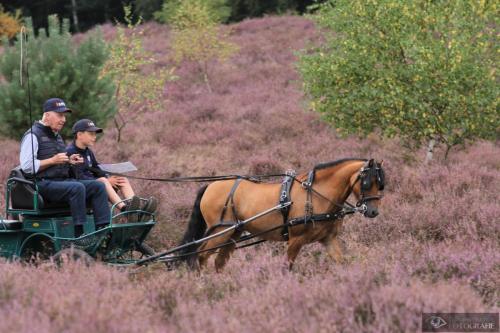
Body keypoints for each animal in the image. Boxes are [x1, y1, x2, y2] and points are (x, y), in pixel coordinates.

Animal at [178, 158, 384, 270]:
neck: (316, 194)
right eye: (366, 182)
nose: (373, 211)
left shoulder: (328, 239)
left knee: (219, 261)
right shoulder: (295, 240)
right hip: (221, 232)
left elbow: (341, 262)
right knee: (201, 256)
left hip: (233, 234)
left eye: (381, 183)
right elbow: (287, 267)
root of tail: (210, 186)